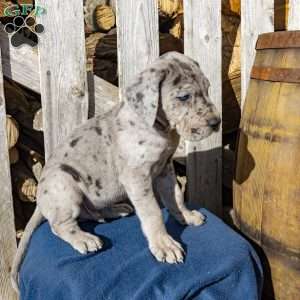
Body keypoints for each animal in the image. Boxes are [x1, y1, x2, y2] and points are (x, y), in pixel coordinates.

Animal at [11, 51, 220, 290]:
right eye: (184, 97)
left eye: (207, 88)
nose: (216, 122)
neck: (160, 128)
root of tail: (39, 202)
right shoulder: (137, 178)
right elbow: (153, 212)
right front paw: (163, 244)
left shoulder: (165, 169)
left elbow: (174, 196)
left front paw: (185, 215)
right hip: (64, 184)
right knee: (60, 224)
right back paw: (84, 238)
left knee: (89, 213)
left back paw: (115, 210)